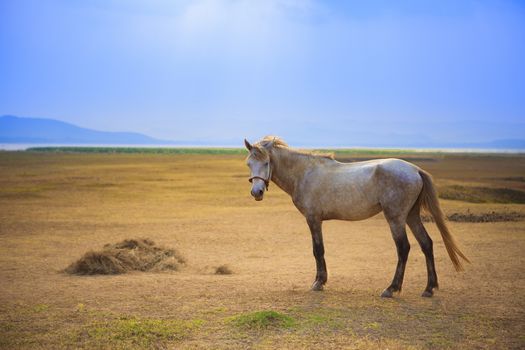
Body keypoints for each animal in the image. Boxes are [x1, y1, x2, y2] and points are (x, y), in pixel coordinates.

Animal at [244, 137, 468, 298]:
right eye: (248, 163)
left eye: (266, 162)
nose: (257, 192)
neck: (305, 173)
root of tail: (415, 170)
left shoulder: (313, 219)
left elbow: (318, 250)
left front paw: (319, 282)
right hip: (411, 216)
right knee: (426, 244)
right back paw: (429, 288)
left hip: (396, 218)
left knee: (404, 248)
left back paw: (391, 288)